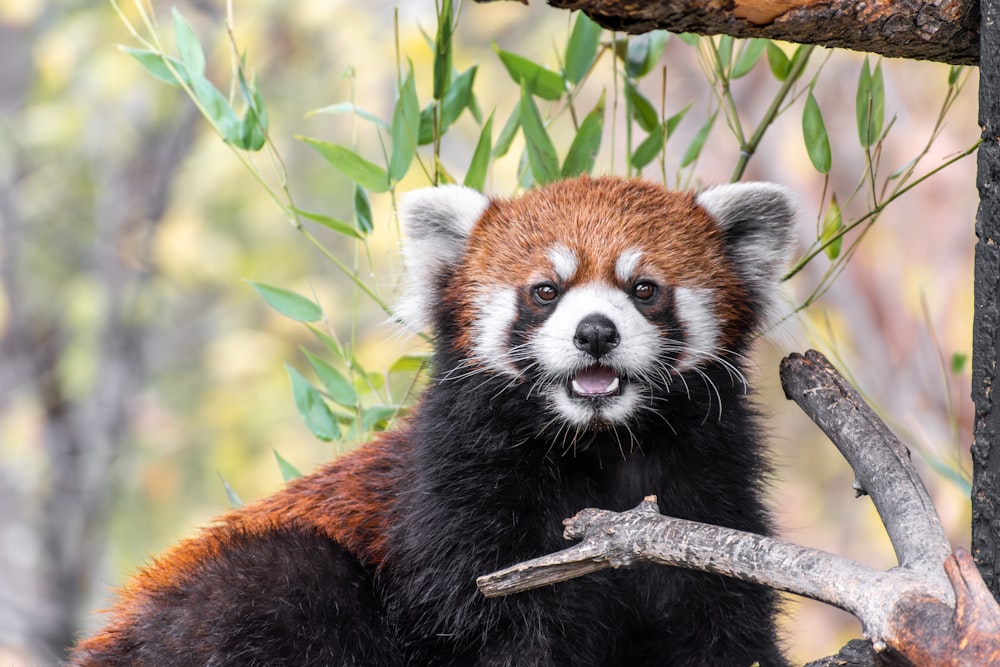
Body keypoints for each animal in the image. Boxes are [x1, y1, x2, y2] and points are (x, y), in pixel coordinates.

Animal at [68, 175, 796, 664]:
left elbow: (721, 621)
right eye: (545, 292)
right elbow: (503, 628)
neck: (600, 446)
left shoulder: (703, 490)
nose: (594, 332)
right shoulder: (459, 509)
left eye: (644, 289)